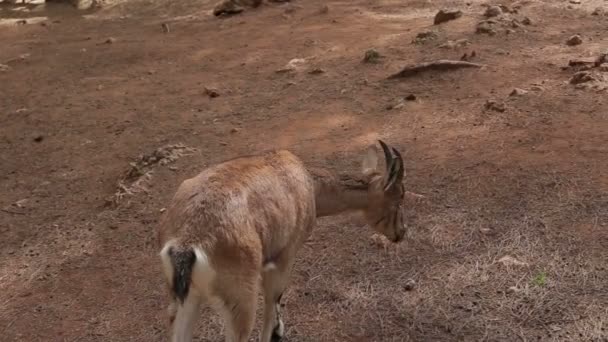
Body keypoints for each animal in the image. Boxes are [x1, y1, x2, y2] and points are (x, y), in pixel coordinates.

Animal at [157, 140, 406, 342]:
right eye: (399, 198)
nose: (400, 233)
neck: (311, 186)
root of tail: (185, 244)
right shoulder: (285, 255)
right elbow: (273, 300)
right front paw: (277, 332)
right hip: (240, 299)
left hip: (186, 298)